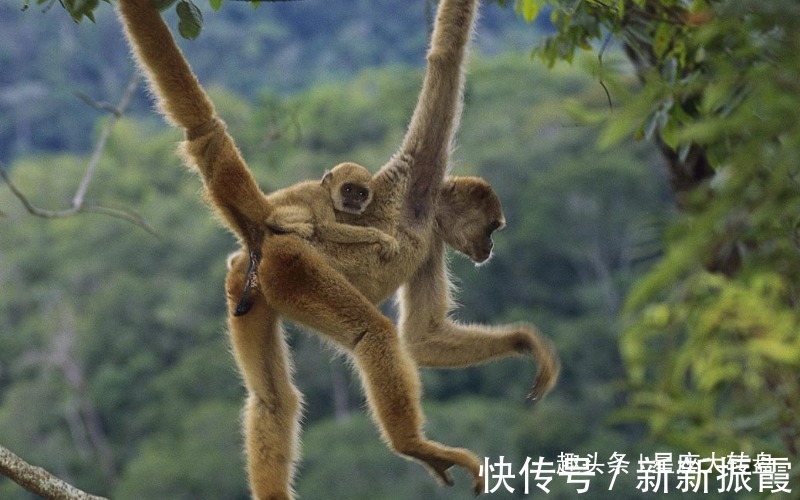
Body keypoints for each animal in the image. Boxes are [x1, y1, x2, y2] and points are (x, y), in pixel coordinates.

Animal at [234, 162, 400, 314]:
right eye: (348, 189)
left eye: (361, 193)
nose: (355, 201)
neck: (326, 190)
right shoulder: (320, 196)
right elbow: (326, 227)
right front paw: (381, 237)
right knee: (291, 218)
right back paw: (281, 224)